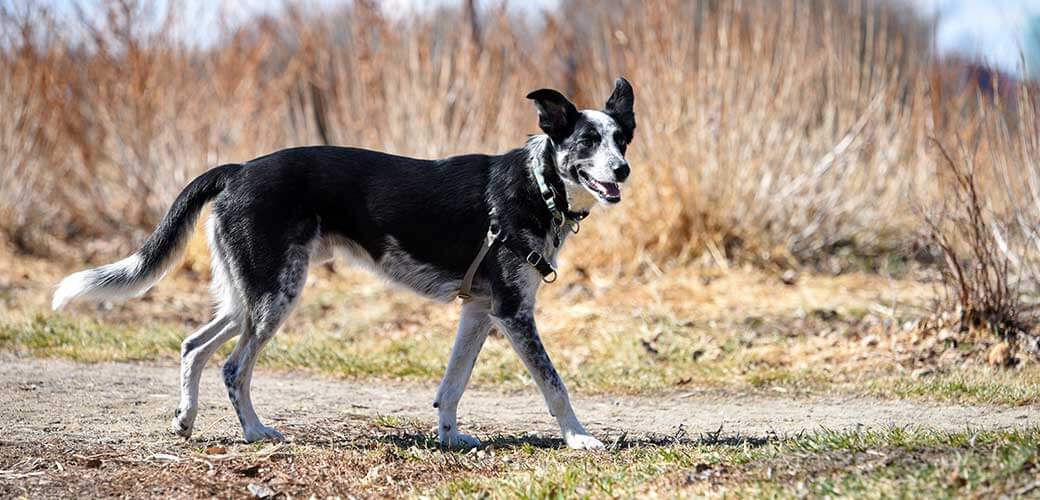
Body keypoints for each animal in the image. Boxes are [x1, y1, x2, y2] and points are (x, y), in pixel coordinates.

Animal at [52, 76, 636, 449]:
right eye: (587, 141)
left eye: (622, 139)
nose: (623, 170)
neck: (538, 184)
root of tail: (237, 170)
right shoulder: (513, 314)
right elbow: (555, 385)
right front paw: (581, 438)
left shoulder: (478, 311)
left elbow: (452, 386)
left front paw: (450, 439)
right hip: (275, 296)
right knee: (233, 366)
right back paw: (256, 433)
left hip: (249, 296)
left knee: (194, 346)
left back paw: (185, 421)